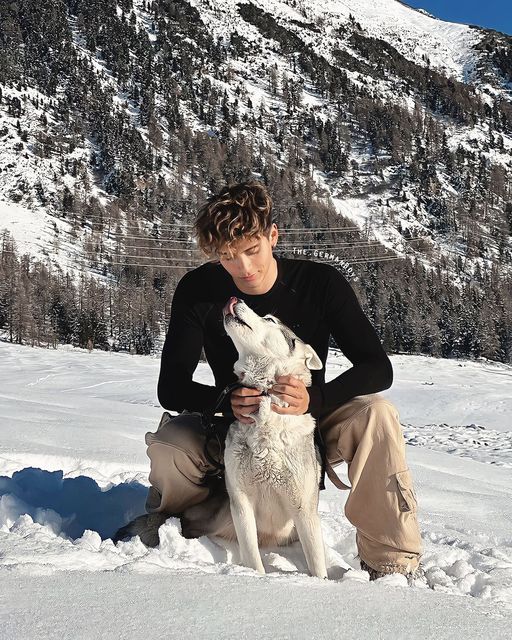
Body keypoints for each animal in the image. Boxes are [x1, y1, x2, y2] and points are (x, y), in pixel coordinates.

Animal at [184, 298, 328, 576]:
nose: (233, 299)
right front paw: (256, 578)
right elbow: (252, 557)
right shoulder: (241, 503)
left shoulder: (304, 509)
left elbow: (317, 565)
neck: (264, 394)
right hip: (217, 516)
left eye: (270, 319)